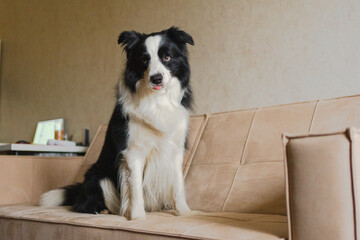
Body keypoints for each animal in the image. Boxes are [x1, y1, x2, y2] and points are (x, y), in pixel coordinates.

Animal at [40, 27, 194, 220]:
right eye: (144, 60)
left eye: (167, 57)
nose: (156, 78)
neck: (157, 100)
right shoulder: (132, 151)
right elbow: (135, 188)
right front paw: (137, 217)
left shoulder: (175, 149)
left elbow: (178, 185)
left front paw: (185, 212)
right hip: (98, 176)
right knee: (84, 205)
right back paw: (101, 209)